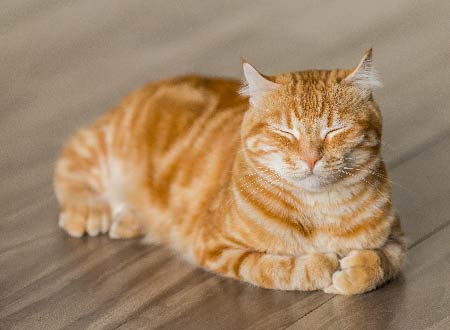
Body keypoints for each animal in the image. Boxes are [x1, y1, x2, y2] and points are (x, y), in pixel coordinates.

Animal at [54, 50, 406, 296]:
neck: (318, 209)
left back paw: (128, 220)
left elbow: (381, 263)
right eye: (284, 132)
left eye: (335, 130)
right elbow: (278, 268)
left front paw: (355, 271)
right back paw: (90, 210)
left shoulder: (397, 239)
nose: (310, 158)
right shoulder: (218, 248)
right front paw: (322, 265)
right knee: (69, 162)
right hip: (102, 146)